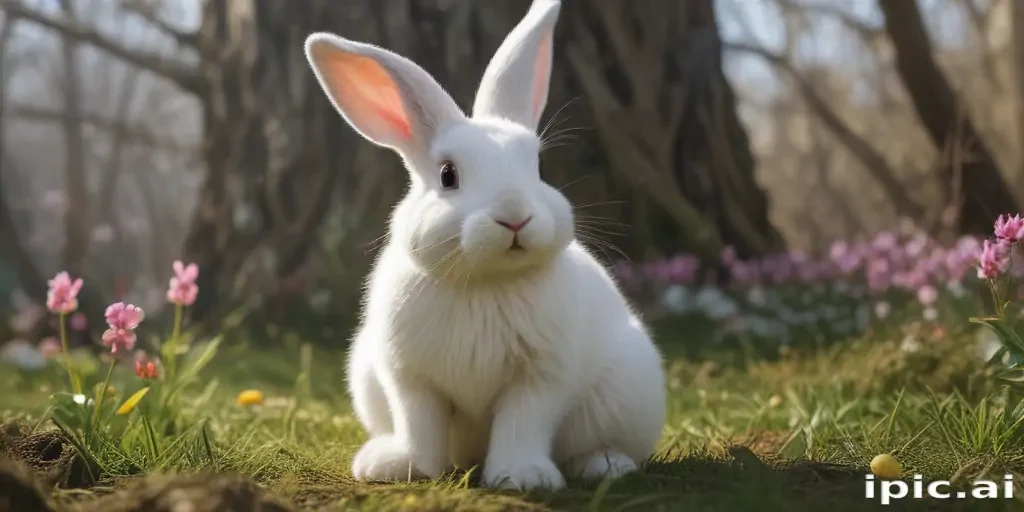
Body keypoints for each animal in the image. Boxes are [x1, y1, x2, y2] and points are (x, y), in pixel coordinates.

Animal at [304, 0, 666, 491]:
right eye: (448, 175)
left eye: (537, 166)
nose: (515, 215)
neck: (484, 281)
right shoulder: (409, 379)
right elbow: (418, 424)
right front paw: (402, 468)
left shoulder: (540, 378)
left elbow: (522, 424)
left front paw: (523, 477)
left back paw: (604, 465)